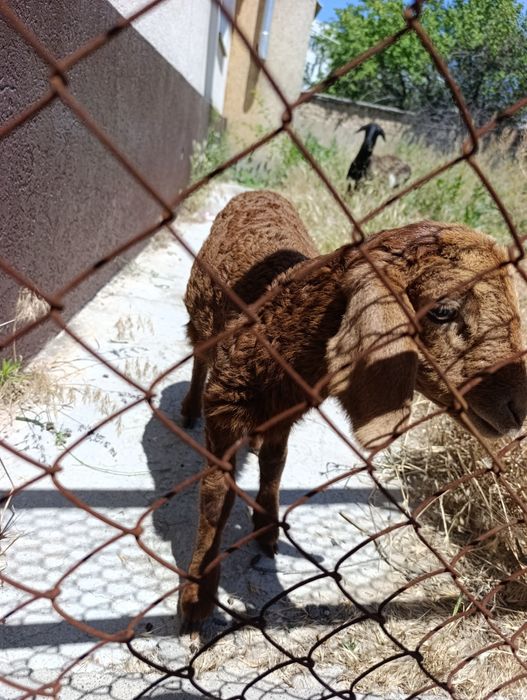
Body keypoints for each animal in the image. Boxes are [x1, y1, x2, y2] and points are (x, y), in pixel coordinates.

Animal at [180, 190, 527, 625]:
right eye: (443, 310)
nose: (519, 408)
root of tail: (257, 192)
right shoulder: (224, 412)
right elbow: (214, 499)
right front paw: (197, 597)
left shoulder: (287, 412)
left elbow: (275, 465)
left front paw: (268, 526)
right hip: (199, 314)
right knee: (197, 355)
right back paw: (187, 408)